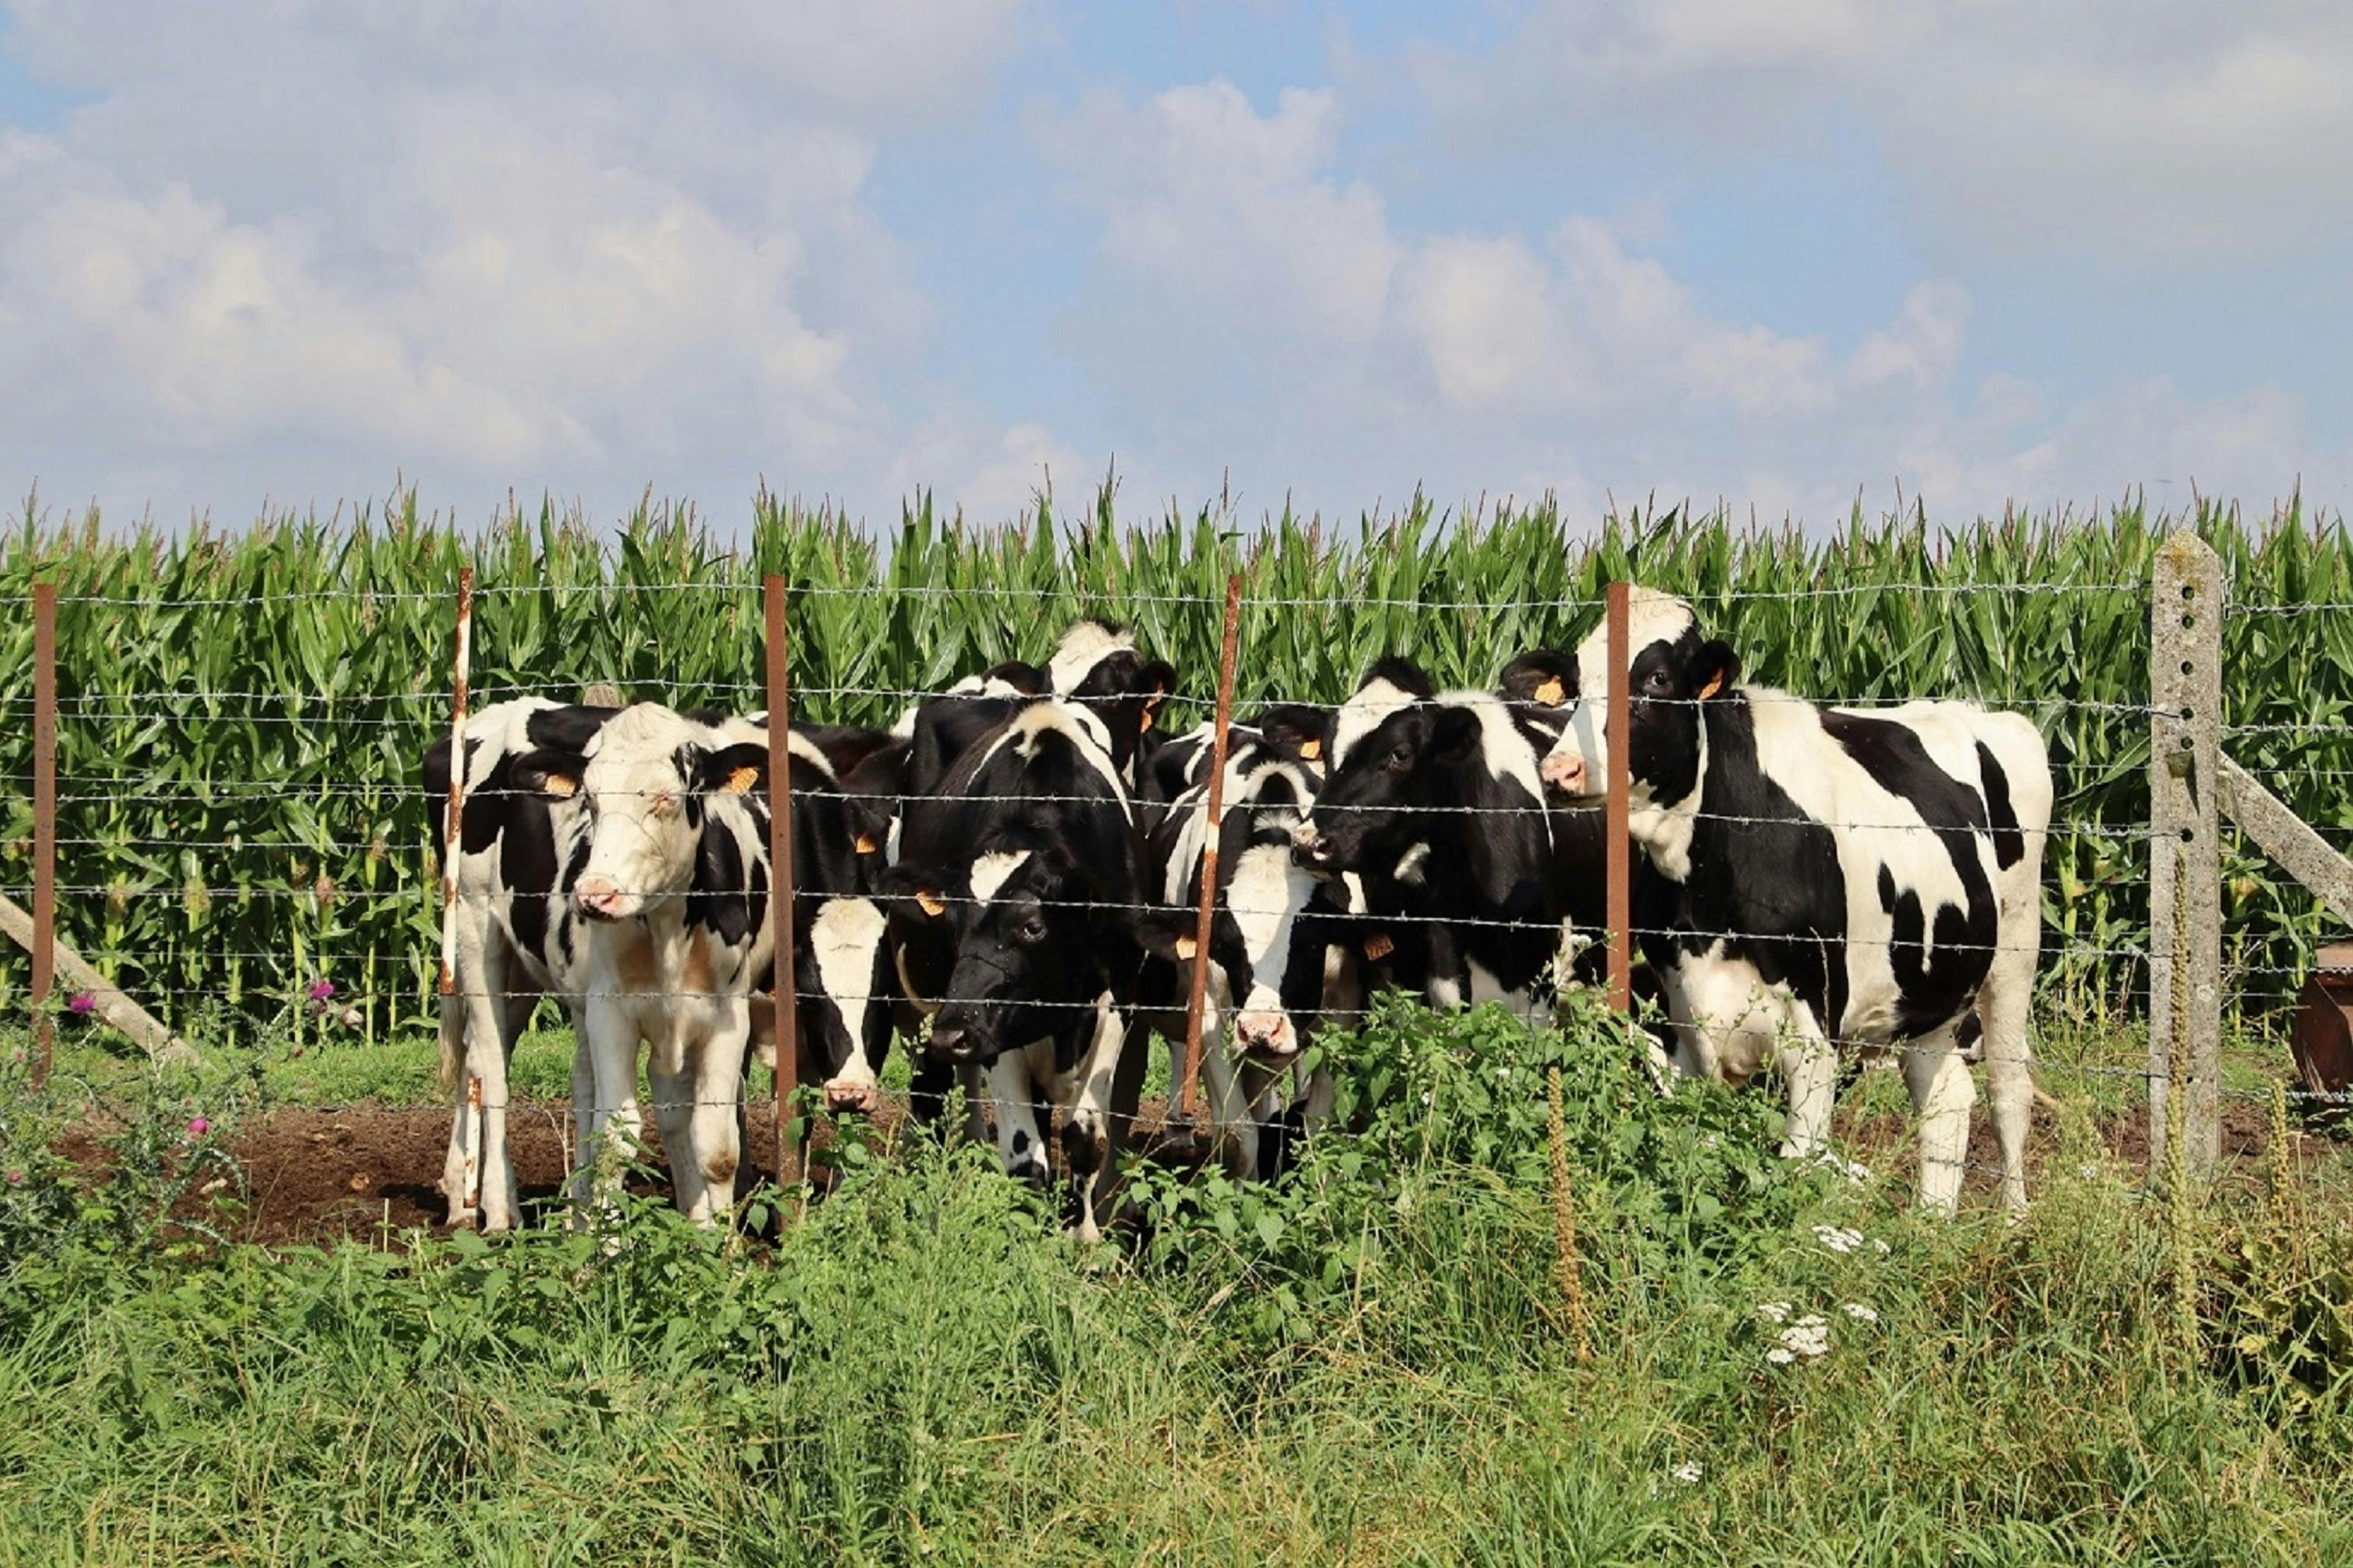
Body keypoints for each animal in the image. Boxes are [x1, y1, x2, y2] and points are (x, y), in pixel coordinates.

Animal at [880, 697, 1143, 1233]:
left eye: (1033, 926)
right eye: (953, 922)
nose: (951, 1035)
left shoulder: (1117, 1001)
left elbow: (1084, 1134)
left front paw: (1083, 1236)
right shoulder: (993, 1025)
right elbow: (1025, 1158)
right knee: (931, 1091)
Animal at [1534, 585, 2052, 1205]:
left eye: (1657, 678)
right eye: (1575, 682)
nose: (1560, 770)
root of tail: (1981, 713)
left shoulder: (1814, 1033)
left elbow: (1800, 1163)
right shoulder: (1684, 1023)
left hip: (2016, 949)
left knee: (2008, 1091)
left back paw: (2013, 1216)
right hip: (1934, 991)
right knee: (1945, 1095)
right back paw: (1931, 1219)